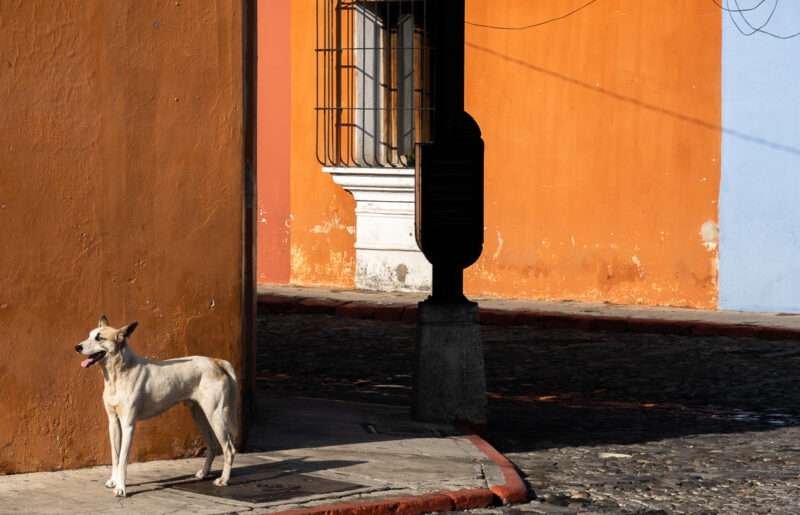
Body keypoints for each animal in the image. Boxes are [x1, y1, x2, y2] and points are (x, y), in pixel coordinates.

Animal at [74, 316, 238, 498]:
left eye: (99, 338)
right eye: (89, 335)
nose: (77, 347)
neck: (118, 372)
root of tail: (216, 361)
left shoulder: (128, 425)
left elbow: (123, 459)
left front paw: (121, 487)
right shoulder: (113, 422)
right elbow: (115, 457)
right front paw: (113, 481)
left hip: (216, 416)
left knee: (229, 449)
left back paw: (224, 479)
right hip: (200, 416)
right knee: (213, 445)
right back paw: (204, 472)